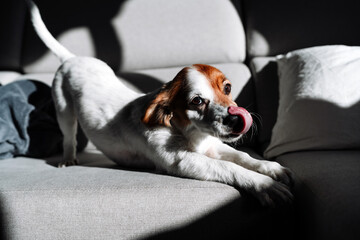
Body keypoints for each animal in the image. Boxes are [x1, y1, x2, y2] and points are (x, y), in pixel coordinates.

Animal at [26, 0, 294, 206]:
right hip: (64, 111)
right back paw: (68, 158)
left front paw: (271, 168)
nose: (237, 119)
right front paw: (265, 185)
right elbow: (231, 168)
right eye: (197, 101)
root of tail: (71, 58)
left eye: (227, 88)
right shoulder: (184, 161)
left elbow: (243, 157)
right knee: (68, 138)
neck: (189, 134)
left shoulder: (214, 147)